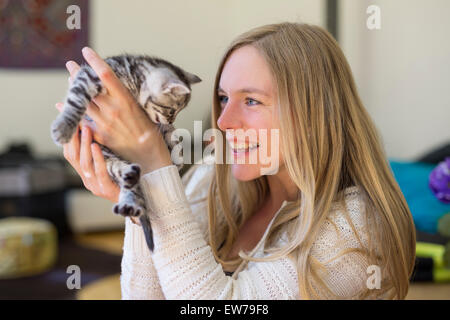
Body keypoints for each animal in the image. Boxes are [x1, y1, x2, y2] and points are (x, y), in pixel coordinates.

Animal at [50, 54, 201, 252]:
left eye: (176, 112)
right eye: (171, 110)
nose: (171, 119)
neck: (134, 81)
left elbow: (171, 132)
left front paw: (176, 150)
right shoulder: (89, 75)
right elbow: (77, 100)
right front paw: (64, 127)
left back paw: (131, 201)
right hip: (103, 156)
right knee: (121, 173)